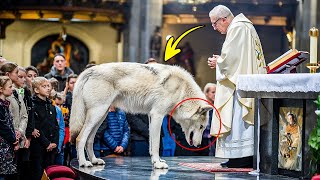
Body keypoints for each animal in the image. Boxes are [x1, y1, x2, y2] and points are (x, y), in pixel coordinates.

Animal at [69, 62, 212, 169]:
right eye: (201, 127)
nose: (199, 145)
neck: (181, 90)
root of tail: (90, 70)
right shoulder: (157, 115)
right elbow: (156, 144)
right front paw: (158, 164)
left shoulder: (151, 116)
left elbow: (151, 145)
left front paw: (156, 161)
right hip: (97, 114)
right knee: (80, 138)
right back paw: (84, 163)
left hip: (100, 117)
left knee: (89, 140)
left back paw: (94, 160)